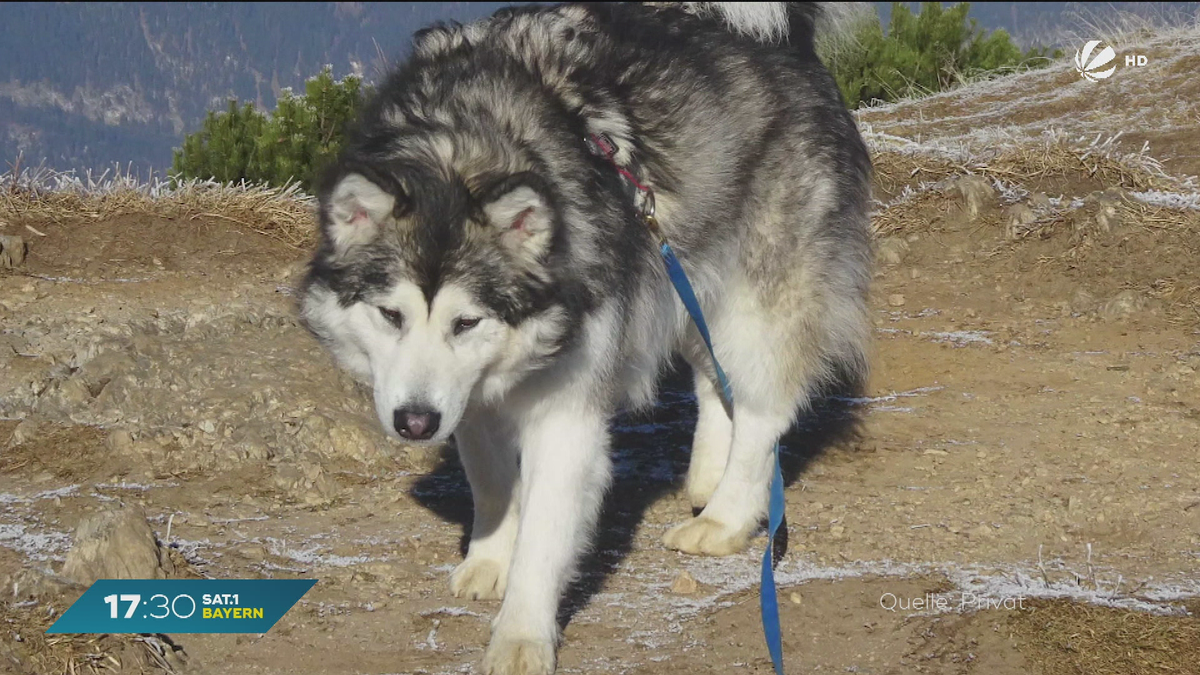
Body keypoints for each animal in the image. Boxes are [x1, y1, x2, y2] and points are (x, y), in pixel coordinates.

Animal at [295, 2, 868, 667]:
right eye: (391, 315)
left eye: (467, 322)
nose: (415, 422)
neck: (459, 150)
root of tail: (781, 39)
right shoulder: (471, 400)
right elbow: (492, 482)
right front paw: (490, 557)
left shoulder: (566, 415)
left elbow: (545, 536)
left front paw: (521, 634)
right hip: (686, 275)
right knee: (711, 377)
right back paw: (706, 476)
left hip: (757, 300)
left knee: (763, 410)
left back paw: (726, 516)